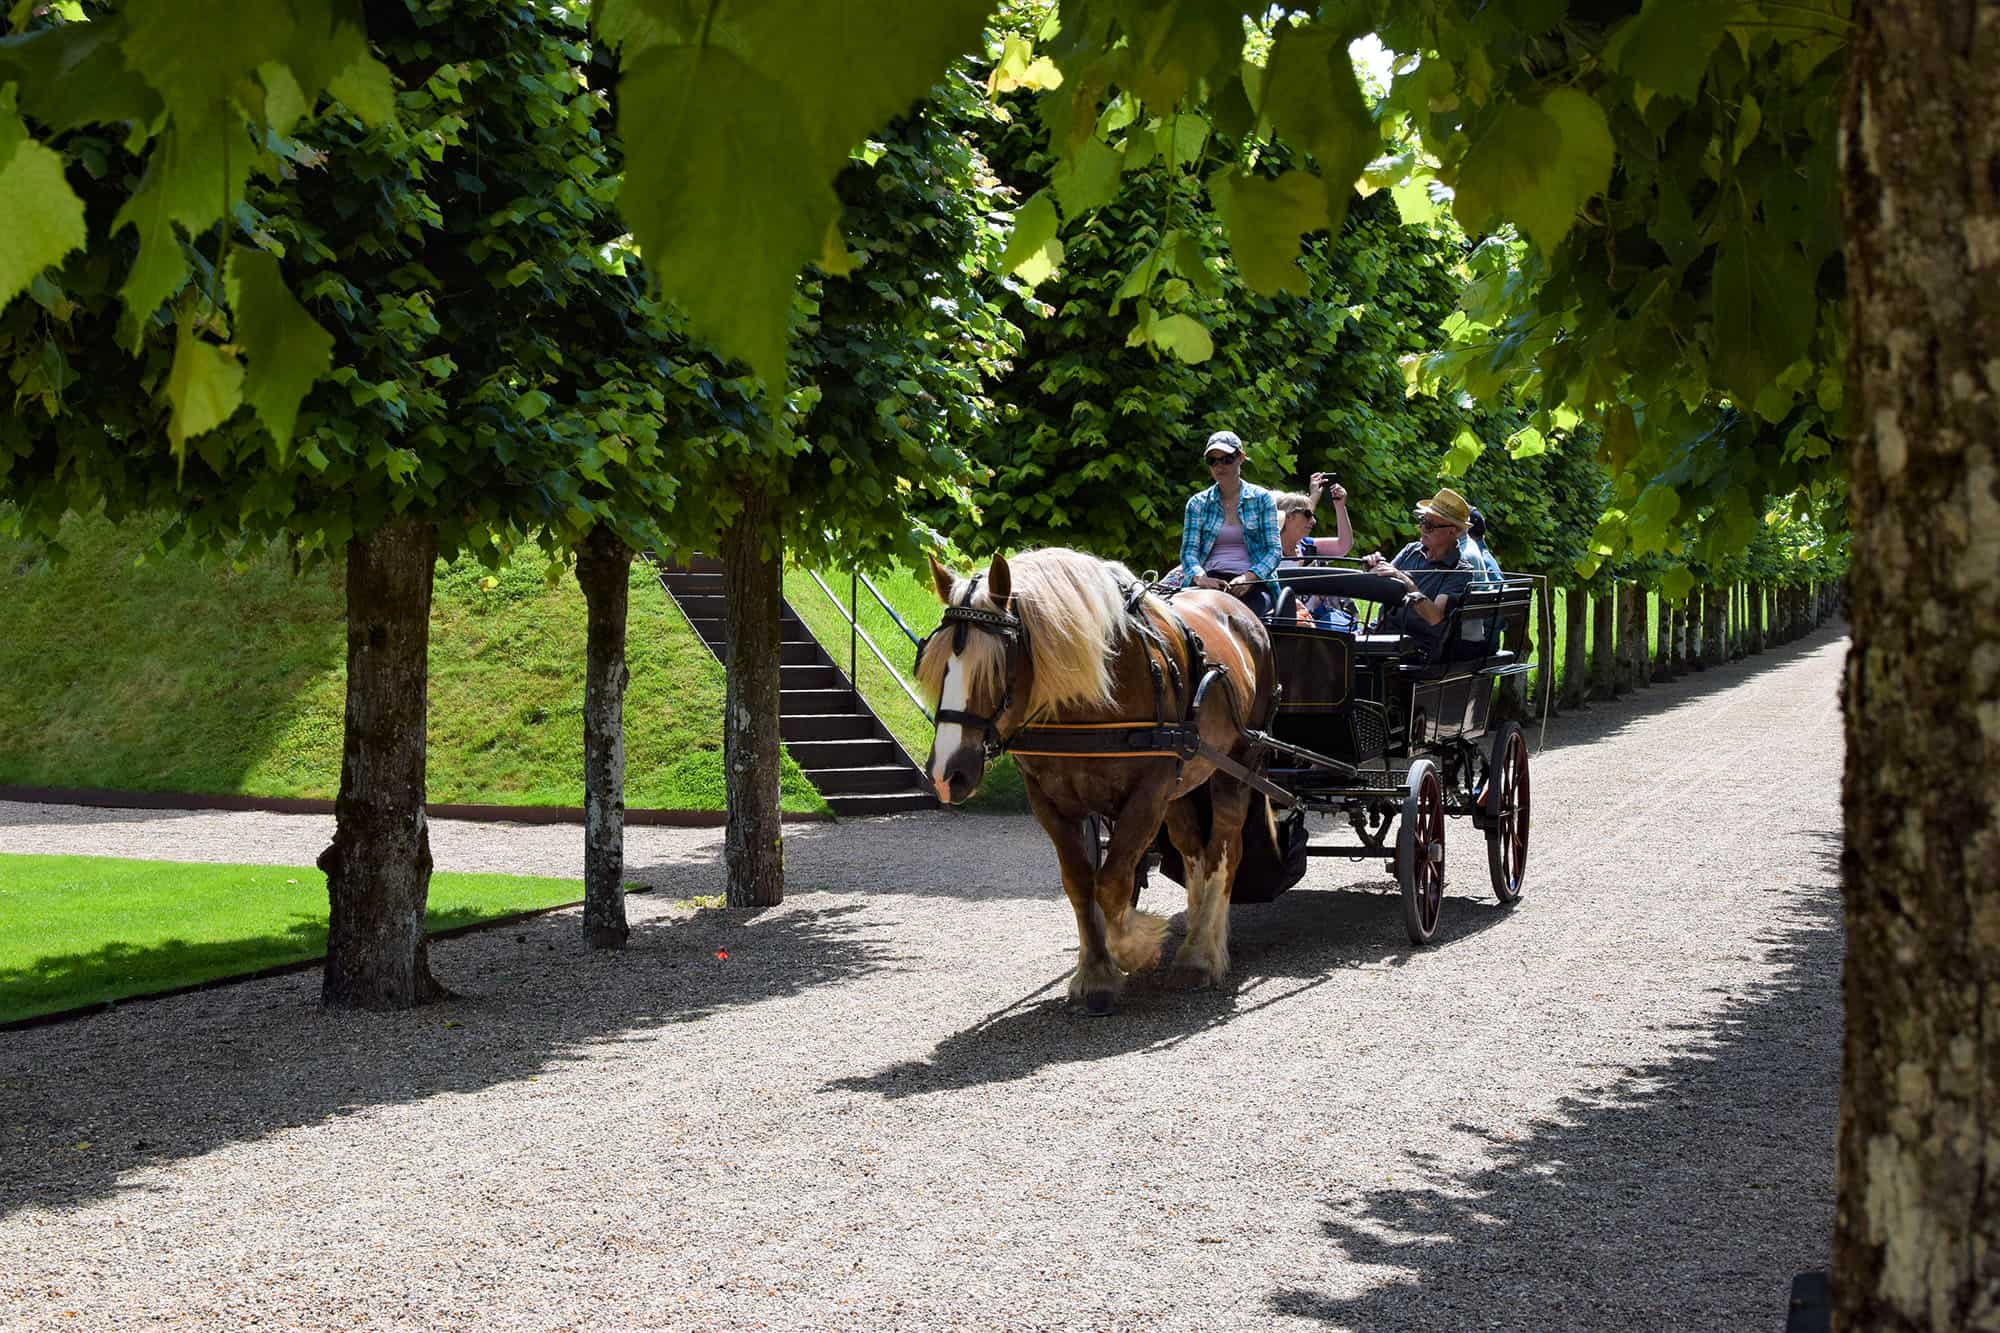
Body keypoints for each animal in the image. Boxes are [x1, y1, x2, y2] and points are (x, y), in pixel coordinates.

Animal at [916, 544, 1272, 1012]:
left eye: (994, 670)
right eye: (938, 665)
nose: (945, 774)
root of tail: (1235, 605)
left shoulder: (1148, 794)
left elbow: (1114, 883)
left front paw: (1137, 947)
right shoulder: (1050, 801)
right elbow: (1081, 883)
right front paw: (1096, 973)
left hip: (1237, 766)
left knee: (1224, 851)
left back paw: (1200, 955)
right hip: (1185, 779)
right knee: (1193, 851)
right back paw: (1200, 931)